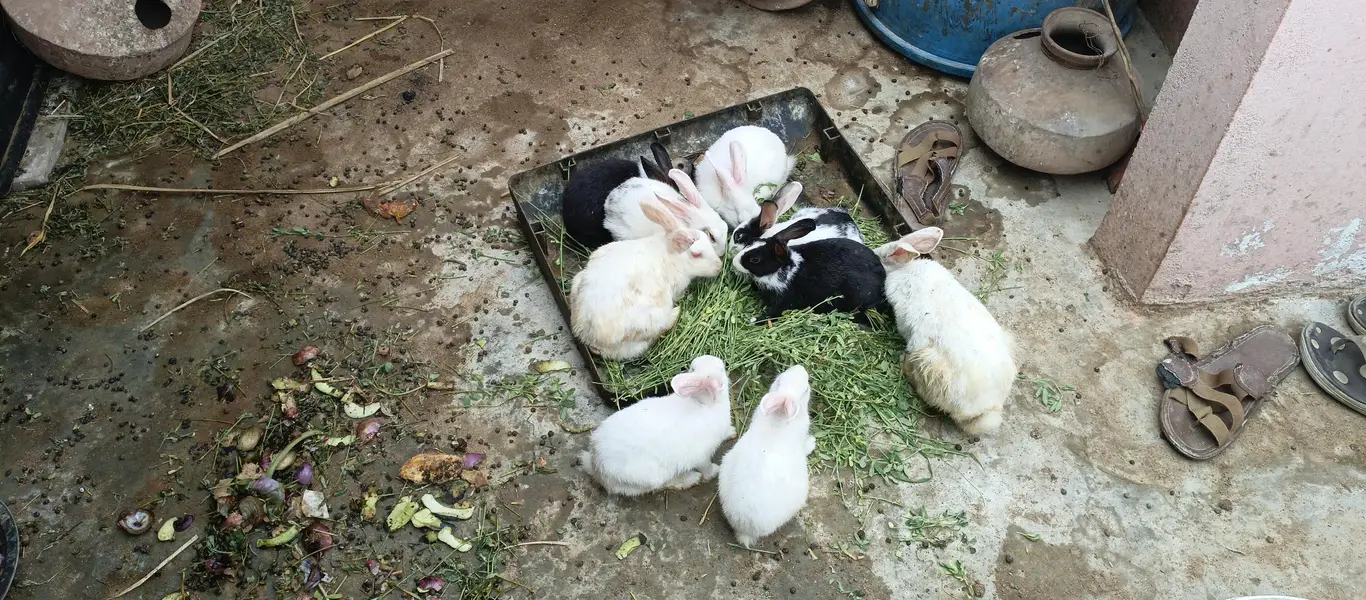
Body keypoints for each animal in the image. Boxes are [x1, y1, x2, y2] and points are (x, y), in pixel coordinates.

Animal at [569, 200, 723, 361]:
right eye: (696, 254)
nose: (719, 267)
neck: (669, 254)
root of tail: (590, 338)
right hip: (652, 318)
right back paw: (676, 312)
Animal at [580, 355, 735, 496]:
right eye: (722, 369)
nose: (721, 360)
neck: (704, 403)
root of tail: (596, 466)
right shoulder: (702, 455)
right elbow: (706, 468)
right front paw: (715, 471)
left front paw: (732, 431)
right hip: (650, 477)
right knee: (661, 485)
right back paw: (691, 479)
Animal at [719, 364, 815, 547]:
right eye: (806, 389)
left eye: (779, 378)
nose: (800, 367)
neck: (779, 416)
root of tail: (745, 530)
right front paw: (813, 443)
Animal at [732, 219, 888, 323]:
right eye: (751, 241)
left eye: (755, 259)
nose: (734, 262)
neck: (784, 268)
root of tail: (882, 279)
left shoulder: (785, 300)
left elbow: (774, 313)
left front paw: (755, 320)